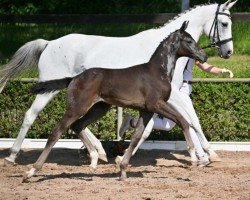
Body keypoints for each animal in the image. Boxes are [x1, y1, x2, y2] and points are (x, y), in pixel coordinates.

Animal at [23, 21, 207, 181]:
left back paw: (94, 160)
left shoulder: (146, 110)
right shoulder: (156, 104)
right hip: (77, 107)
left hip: (99, 108)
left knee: (77, 126)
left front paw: (123, 170)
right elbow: (183, 121)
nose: (204, 56)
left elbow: (136, 137)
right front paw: (193, 156)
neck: (157, 71)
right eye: (189, 41)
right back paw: (31, 171)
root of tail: (73, 78)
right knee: (57, 132)